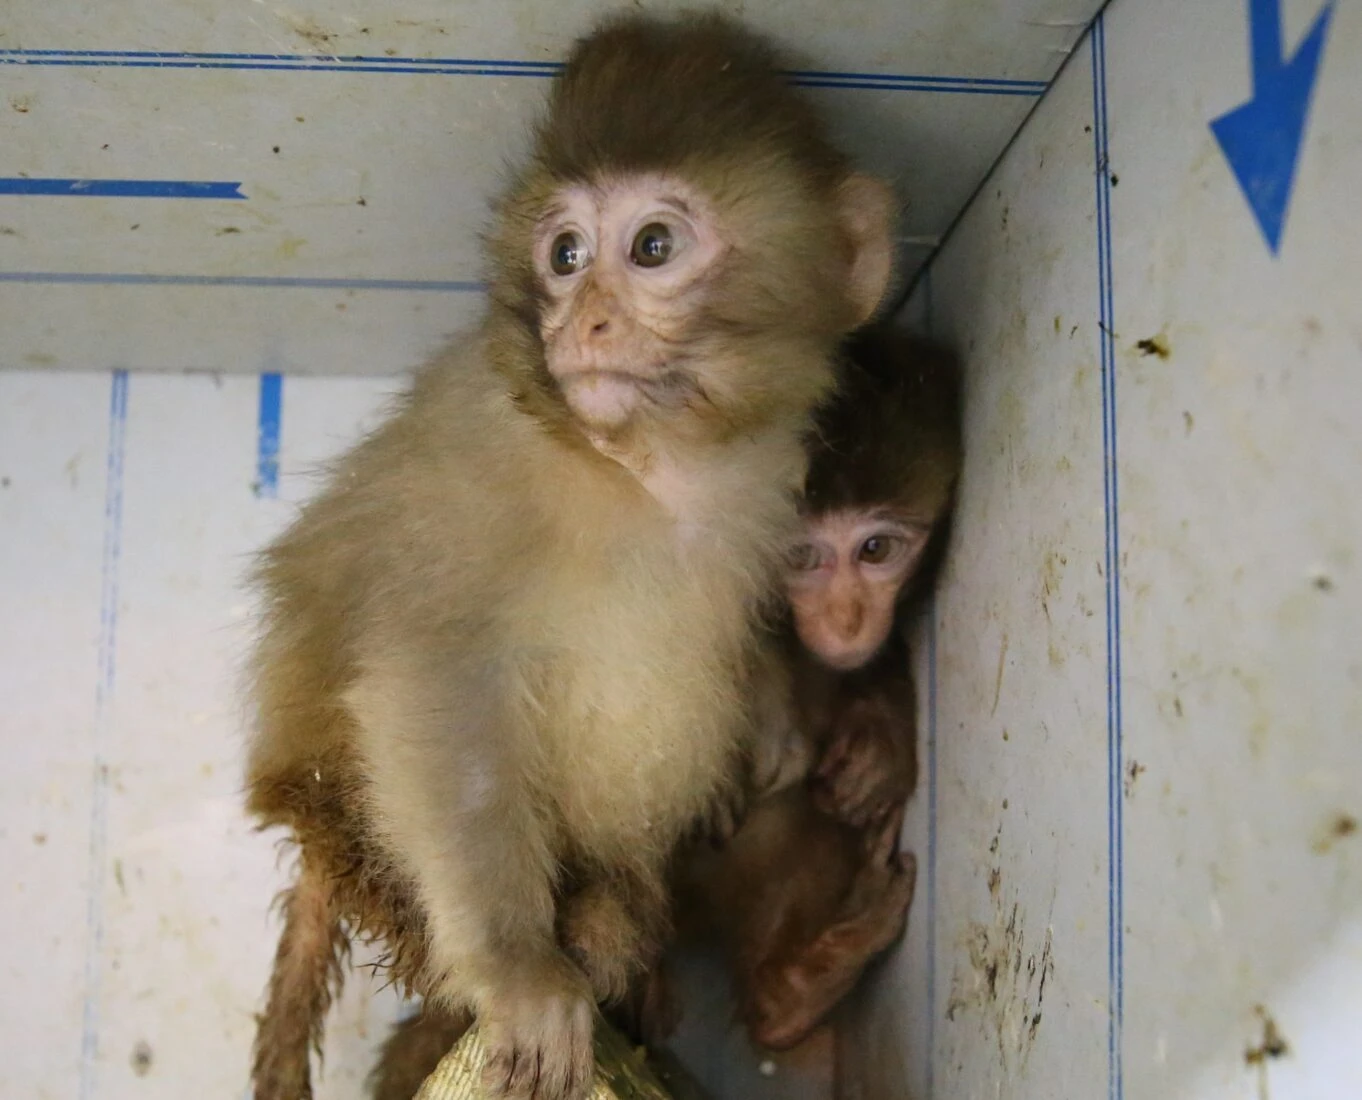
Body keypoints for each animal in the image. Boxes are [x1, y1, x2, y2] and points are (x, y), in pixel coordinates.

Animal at [245, 10, 898, 1100]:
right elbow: (436, 680)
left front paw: (770, 713)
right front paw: (522, 971)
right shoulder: (479, 456)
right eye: (563, 252)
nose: (583, 320)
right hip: (346, 827)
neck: (645, 468)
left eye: (652, 246)